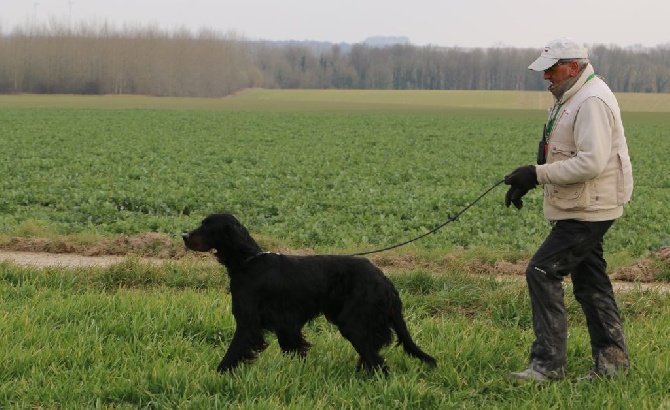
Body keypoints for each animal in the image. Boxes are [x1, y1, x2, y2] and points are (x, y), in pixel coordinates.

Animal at [181, 213, 438, 374]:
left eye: (207, 225)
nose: (184, 236)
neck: (248, 261)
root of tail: (385, 280)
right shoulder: (286, 325)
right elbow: (295, 346)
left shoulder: (248, 323)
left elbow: (233, 354)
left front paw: (217, 375)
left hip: (353, 323)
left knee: (378, 363)